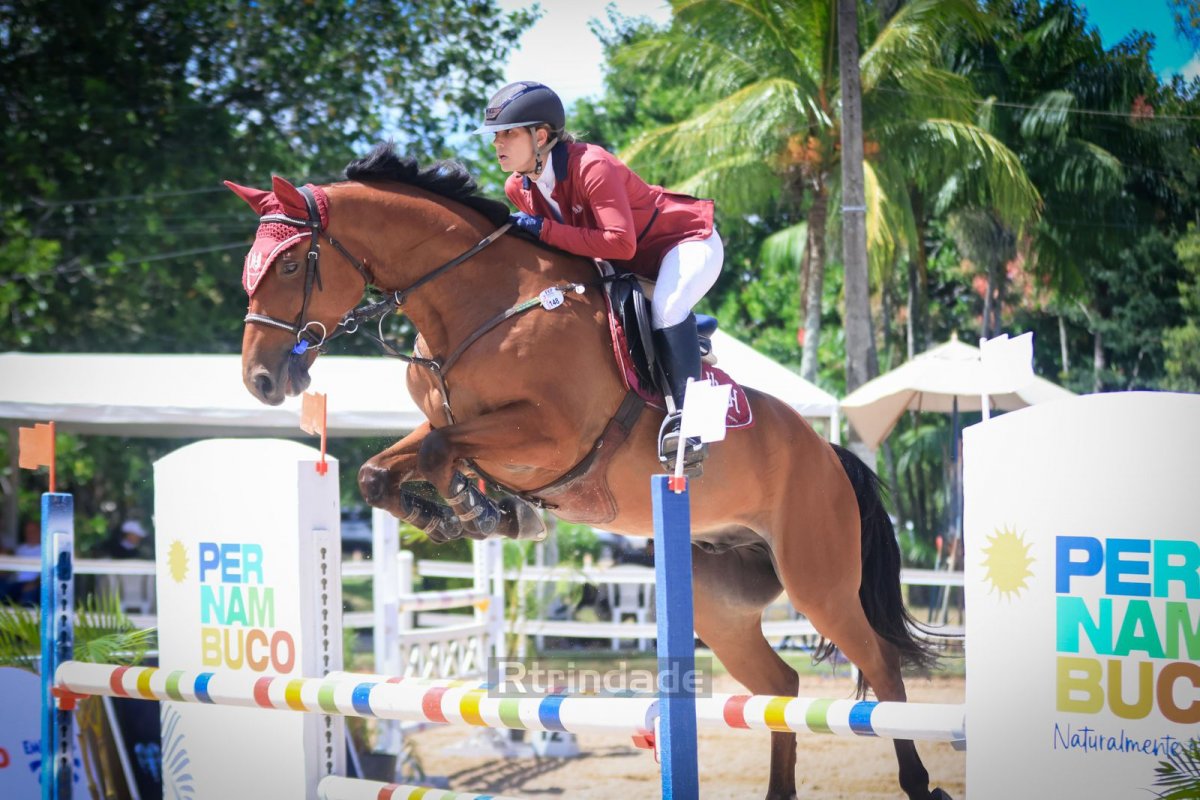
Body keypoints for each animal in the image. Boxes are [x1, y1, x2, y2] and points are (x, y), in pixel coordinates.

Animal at [229, 142, 950, 800]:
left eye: (290, 263)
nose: (261, 380)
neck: (478, 304)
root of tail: (829, 455)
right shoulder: (463, 430)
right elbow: (385, 472)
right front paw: (469, 511)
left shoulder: (552, 435)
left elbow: (439, 450)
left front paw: (475, 507)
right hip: (719, 602)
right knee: (782, 687)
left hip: (818, 581)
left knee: (881, 667)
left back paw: (920, 784)